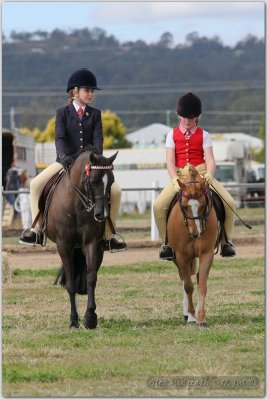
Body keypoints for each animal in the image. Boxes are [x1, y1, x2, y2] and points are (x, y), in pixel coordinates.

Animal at [46, 147, 117, 328]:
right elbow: (70, 284)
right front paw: (73, 320)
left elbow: (91, 278)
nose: (102, 215)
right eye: (94, 181)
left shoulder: (91, 244)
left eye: (111, 181)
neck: (76, 204)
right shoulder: (64, 246)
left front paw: (90, 318)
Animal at [166, 165, 219, 324]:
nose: (196, 233)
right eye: (184, 206)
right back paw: (187, 314)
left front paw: (201, 318)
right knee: (184, 279)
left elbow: (201, 285)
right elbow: (188, 286)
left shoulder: (207, 253)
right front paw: (190, 315)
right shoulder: (181, 256)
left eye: (202, 206)